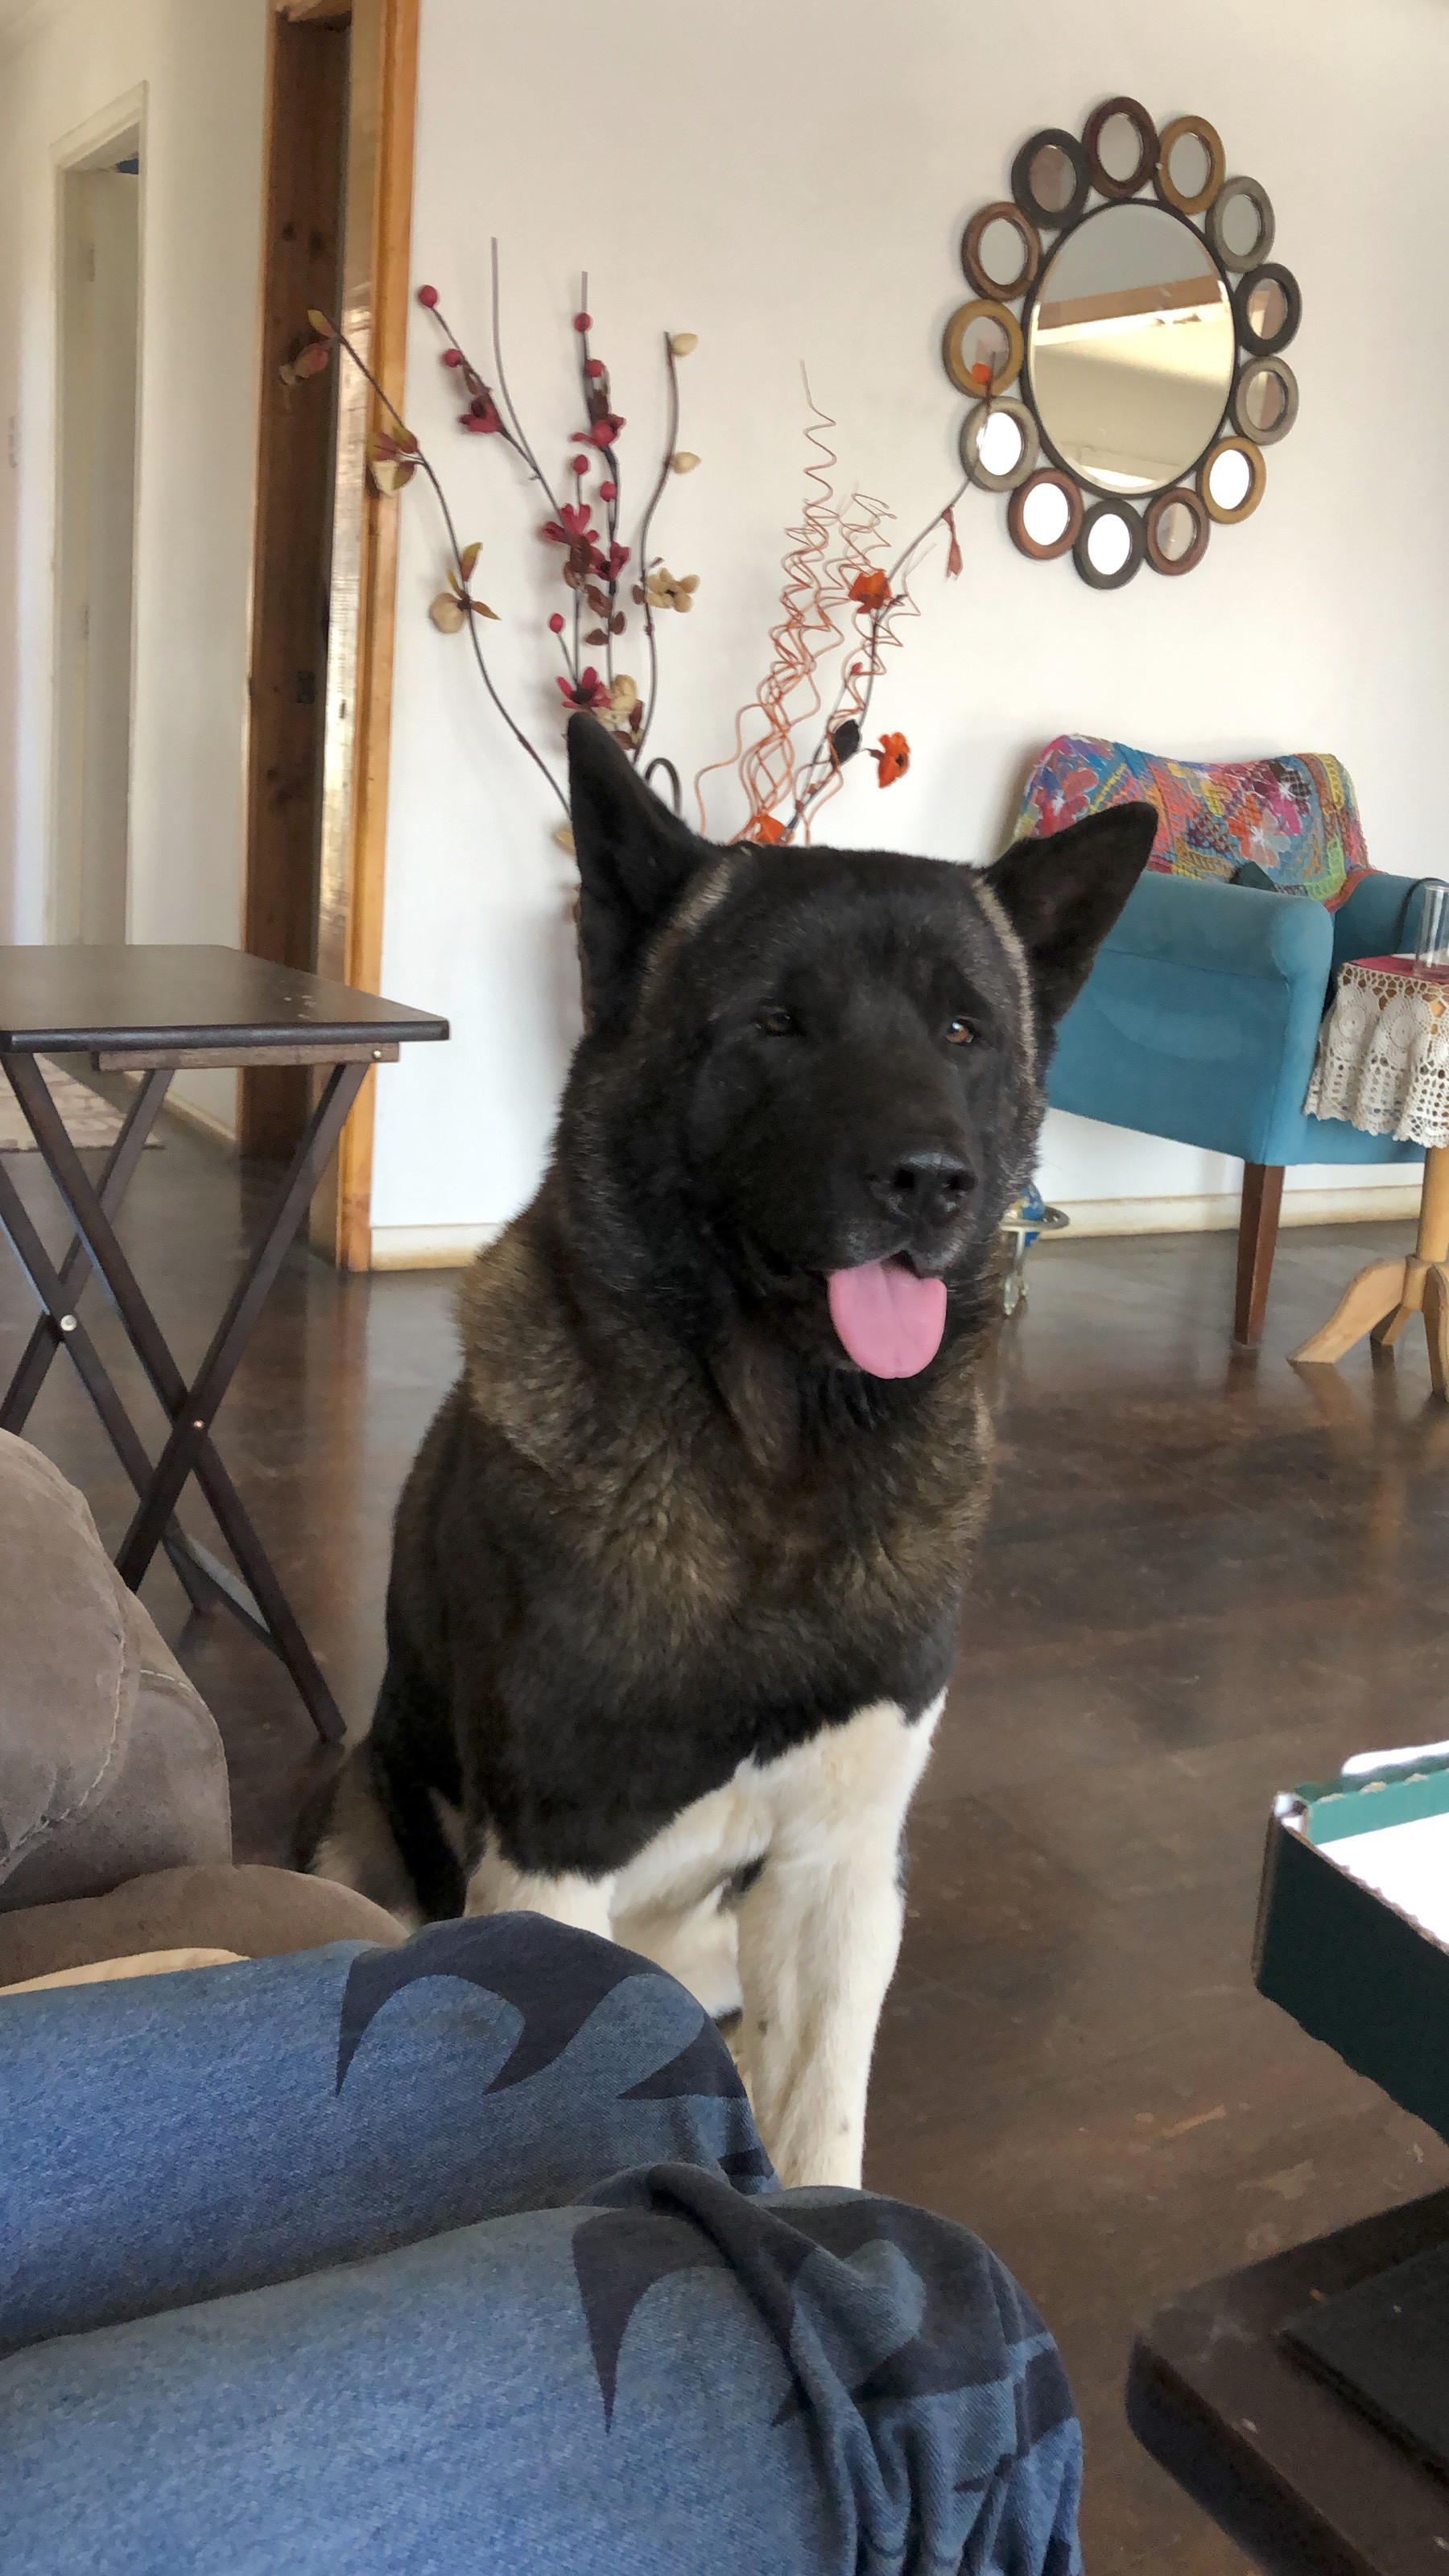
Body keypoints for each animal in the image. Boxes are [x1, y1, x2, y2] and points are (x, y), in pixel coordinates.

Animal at [302, 714, 1154, 2187]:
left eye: (963, 1031)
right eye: (776, 1024)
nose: (932, 1184)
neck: (776, 1465)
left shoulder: (837, 1881)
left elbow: (821, 2143)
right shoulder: (550, 1865)